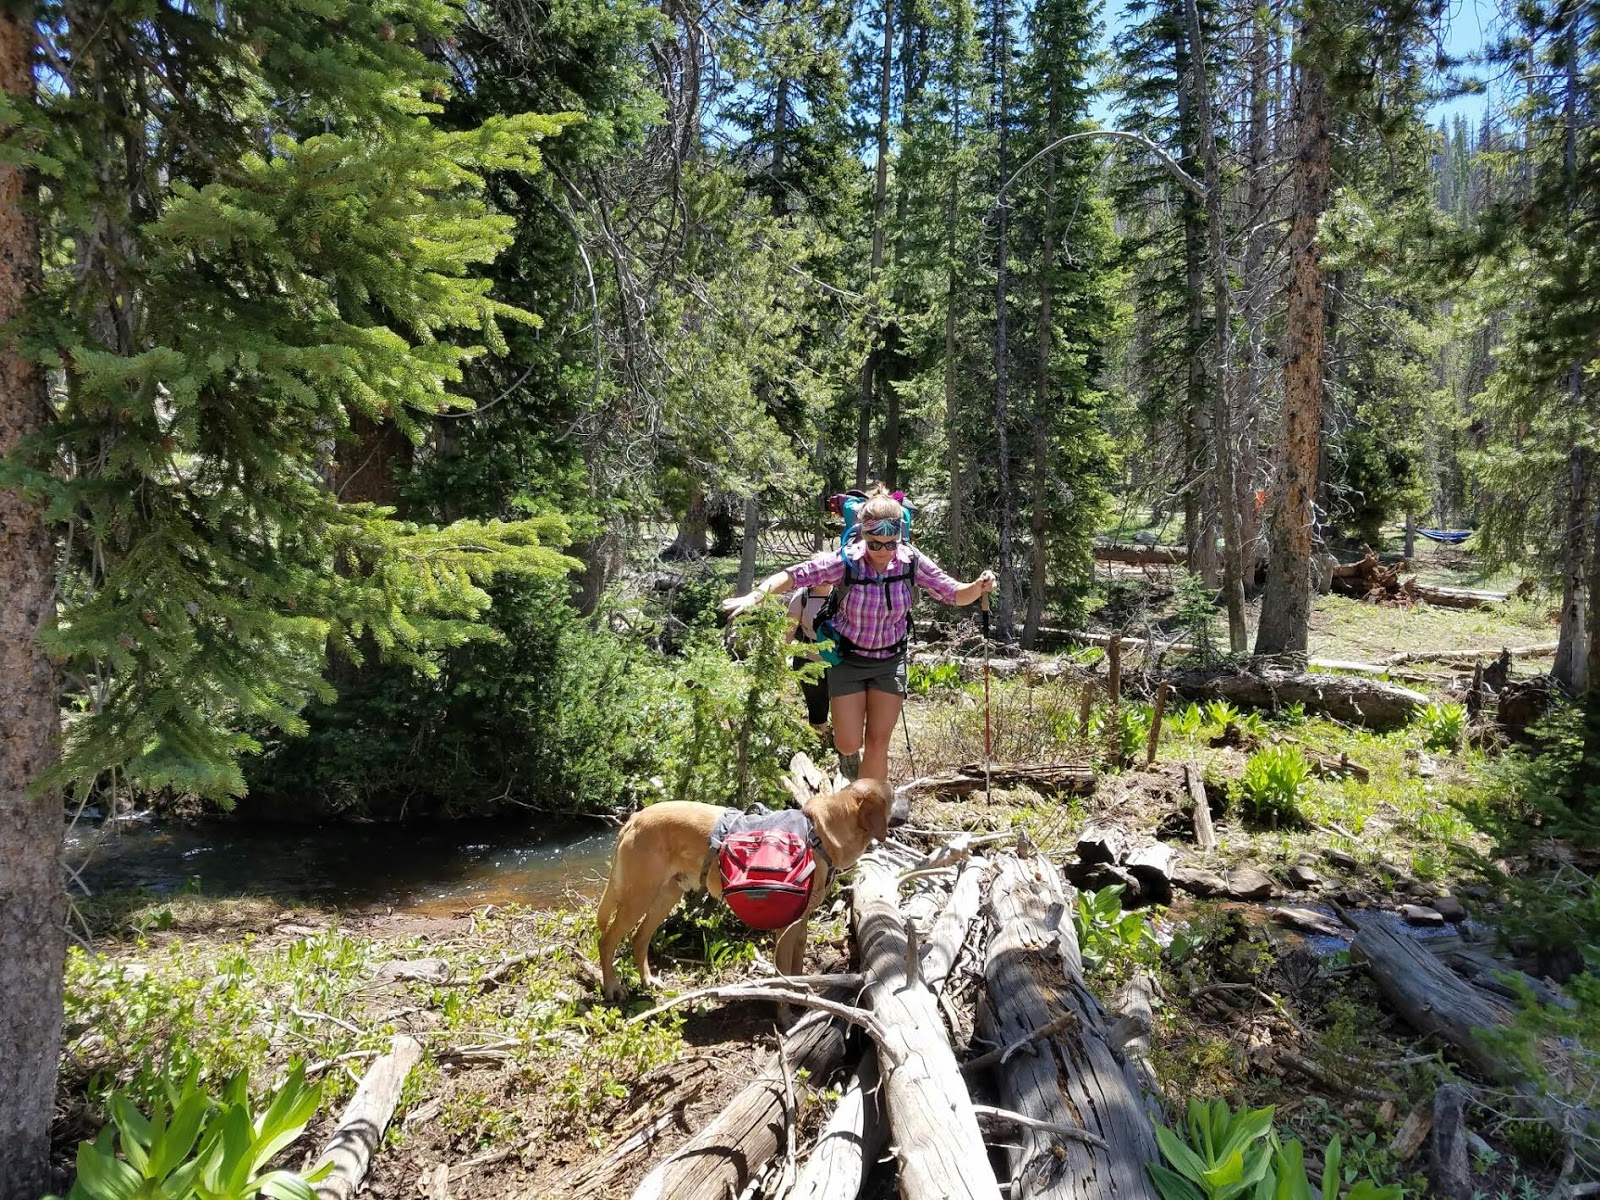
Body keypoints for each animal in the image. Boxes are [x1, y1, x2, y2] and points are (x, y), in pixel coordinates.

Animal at [595, 774, 896, 998]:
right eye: (893, 795)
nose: (907, 798)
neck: (820, 835)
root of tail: (634, 819)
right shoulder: (785, 926)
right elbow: (784, 970)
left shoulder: (800, 923)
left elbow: (797, 966)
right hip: (638, 896)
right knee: (607, 940)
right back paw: (612, 988)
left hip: (666, 895)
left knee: (639, 938)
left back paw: (648, 981)